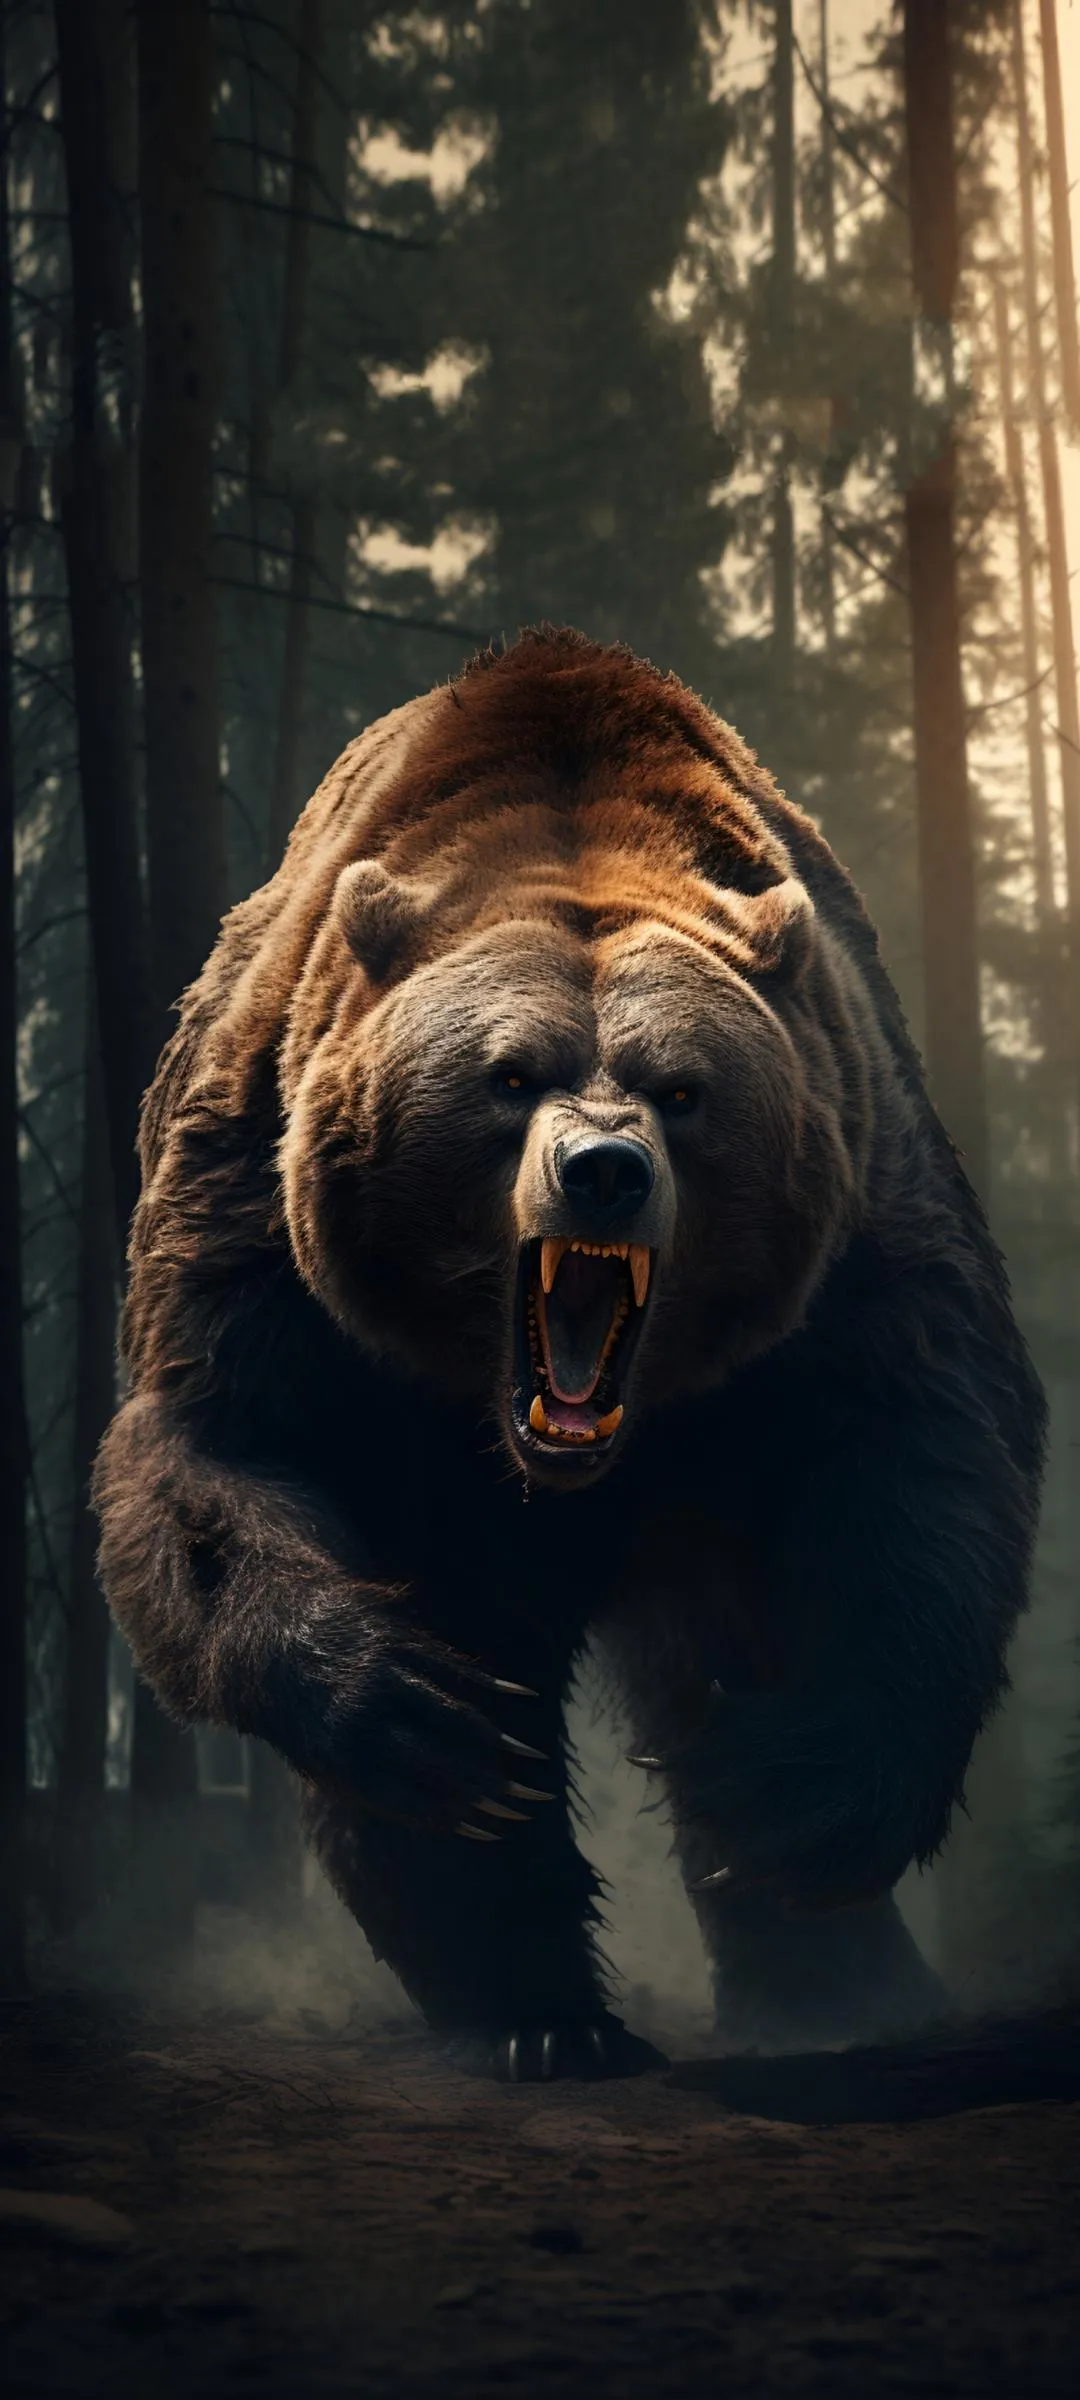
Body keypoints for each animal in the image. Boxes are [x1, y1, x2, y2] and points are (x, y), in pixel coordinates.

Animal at [94, 627, 1046, 2078]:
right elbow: (221, 1457)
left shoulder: (849, 1245)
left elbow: (924, 1467)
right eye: (507, 1076)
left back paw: (830, 1981)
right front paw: (415, 1710)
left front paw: (777, 1792)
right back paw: (539, 2009)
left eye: (682, 1089)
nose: (603, 1170)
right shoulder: (275, 1239)